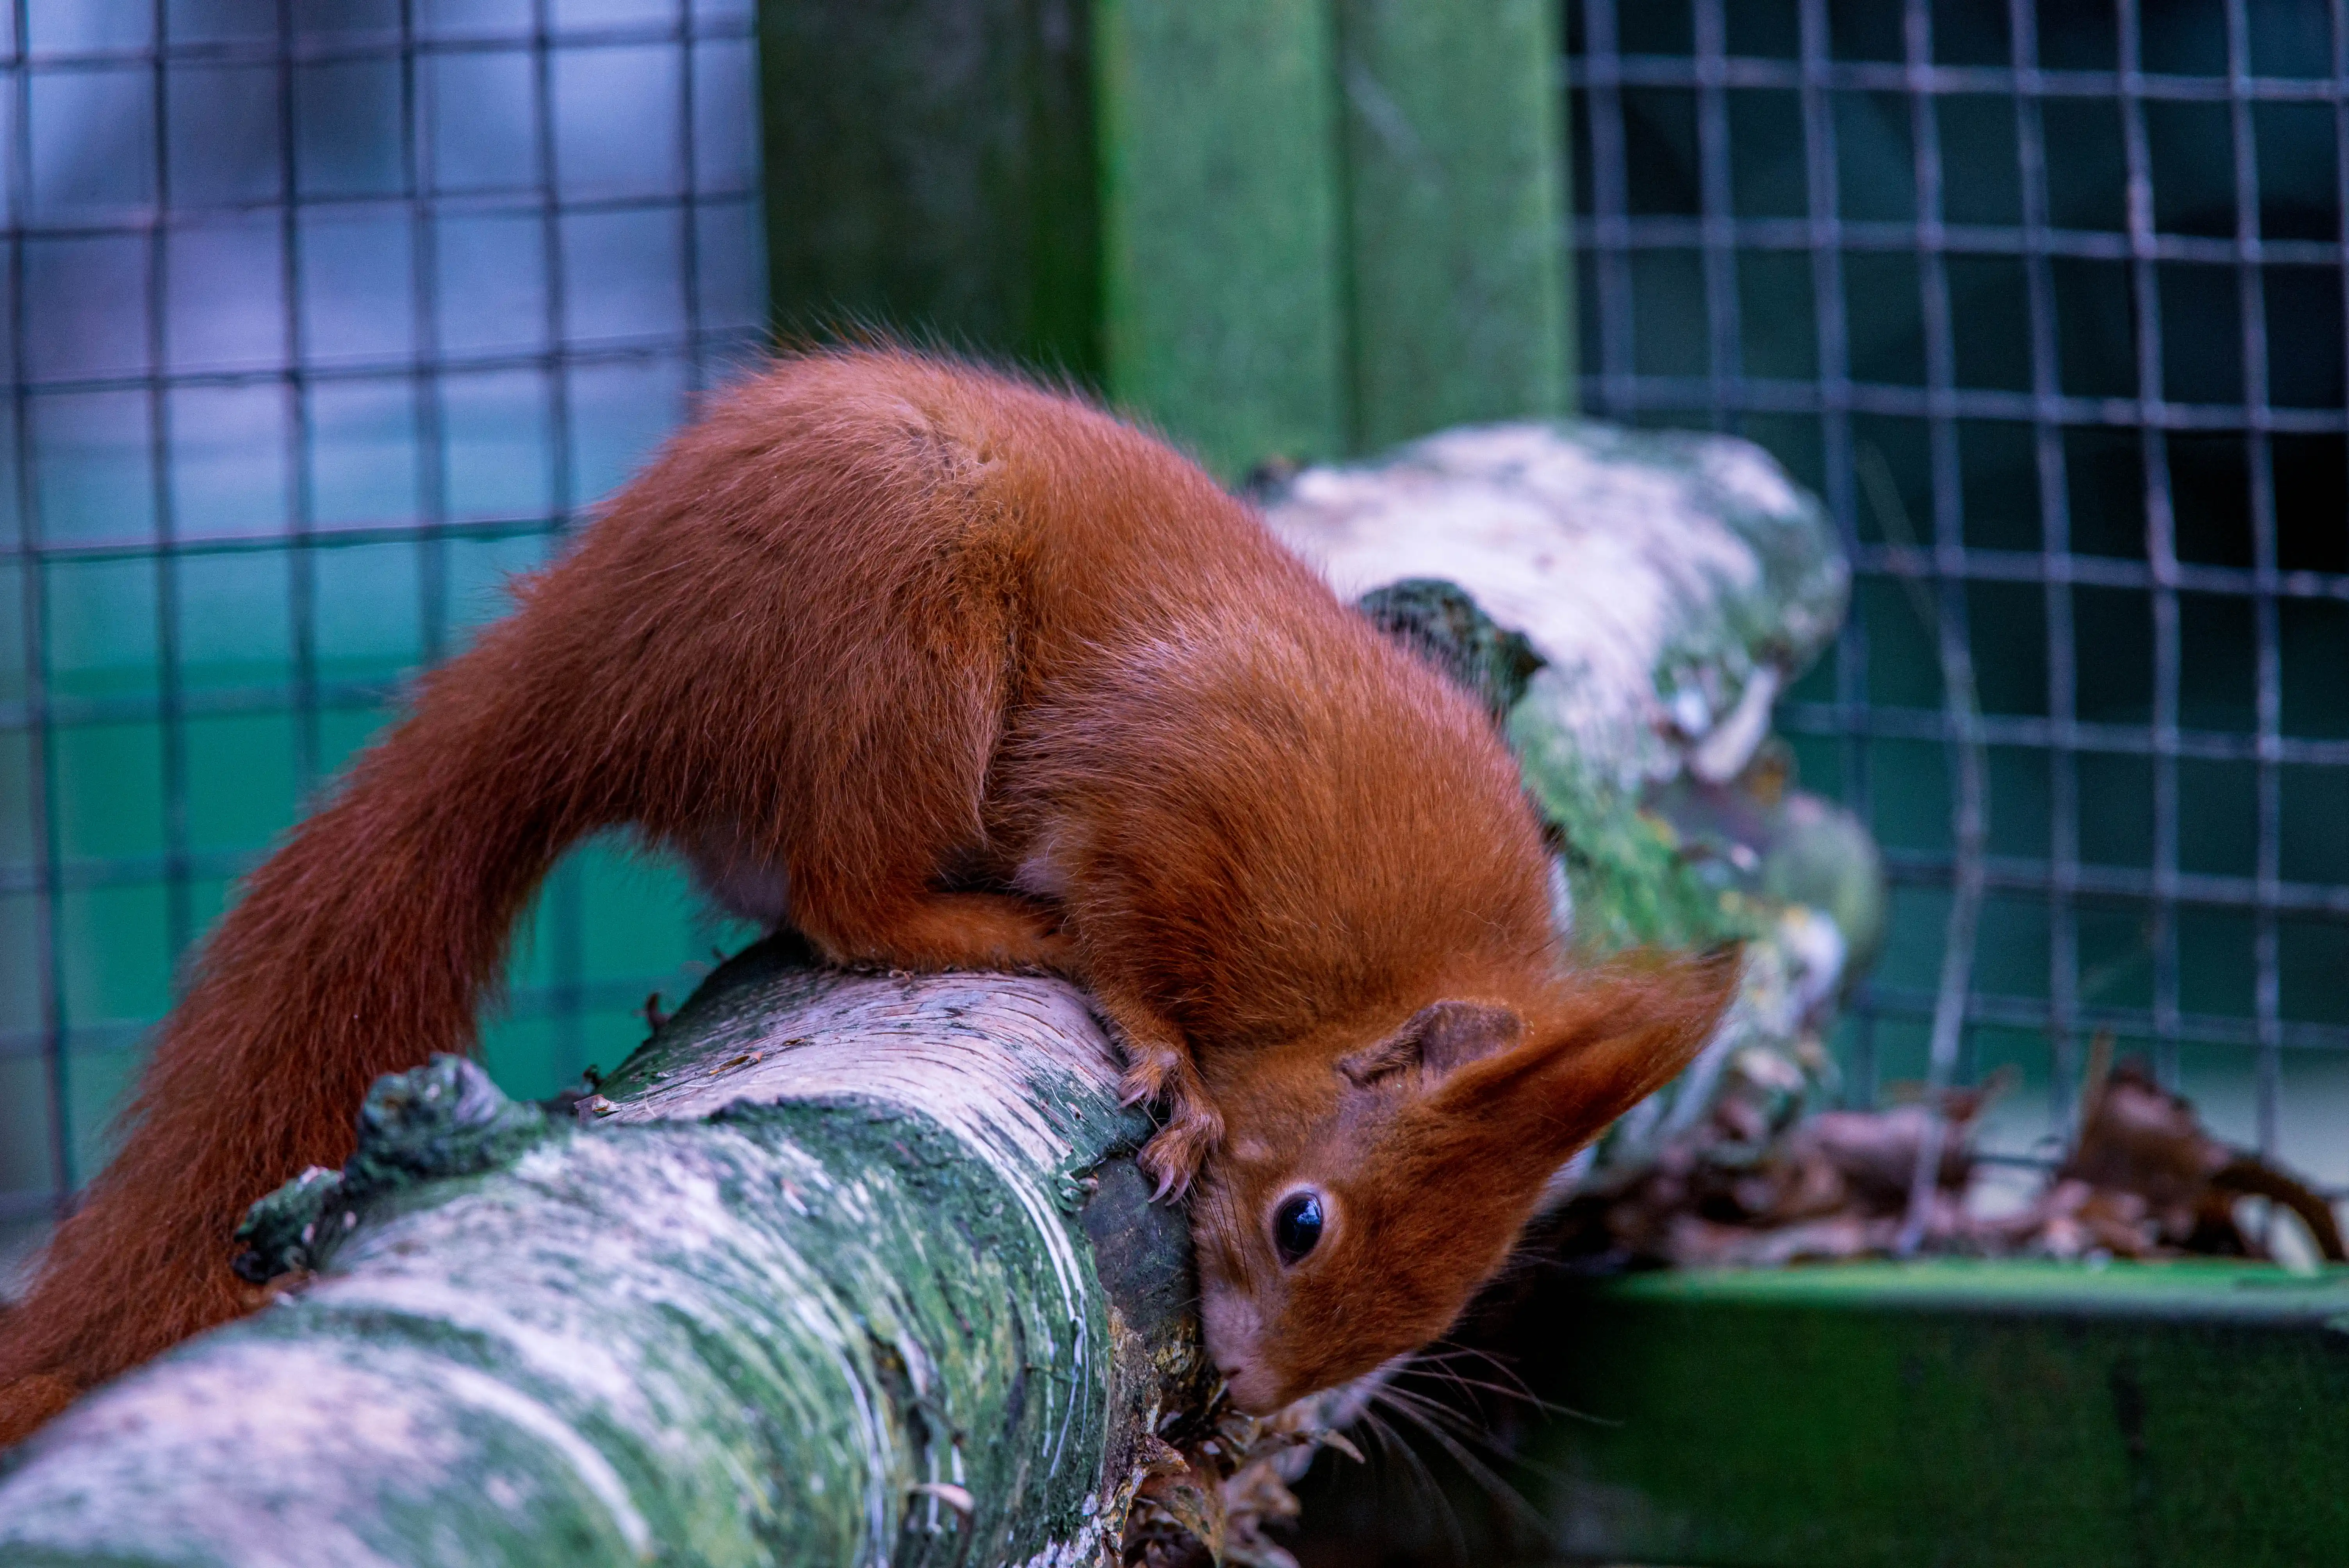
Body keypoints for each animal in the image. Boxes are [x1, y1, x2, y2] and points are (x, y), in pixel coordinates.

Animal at [0, 348, 1734, 1439]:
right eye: (1300, 1221)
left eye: (1450, 1299)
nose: (1252, 1404)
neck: (1371, 969)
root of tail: (589, 657)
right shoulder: (1177, 787)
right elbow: (1126, 920)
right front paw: (1165, 1051)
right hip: (893, 623)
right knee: (844, 892)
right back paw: (985, 923)